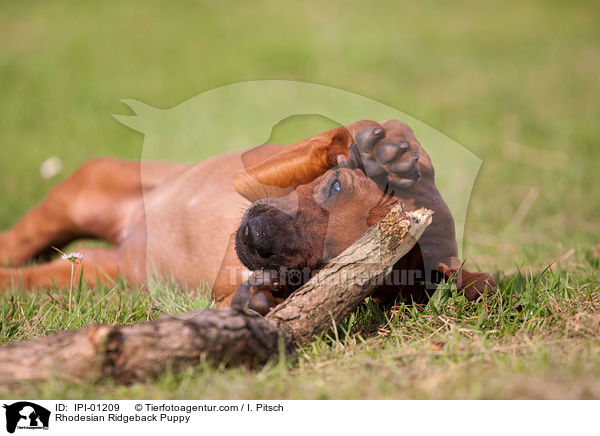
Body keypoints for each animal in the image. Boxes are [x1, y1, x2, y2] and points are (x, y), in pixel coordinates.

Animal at [0, 121, 492, 308]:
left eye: (333, 268)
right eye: (333, 187)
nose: (257, 239)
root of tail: (128, 236)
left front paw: (260, 300)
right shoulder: (253, 175)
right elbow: (337, 138)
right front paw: (387, 156)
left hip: (89, 272)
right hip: (84, 192)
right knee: (18, 242)